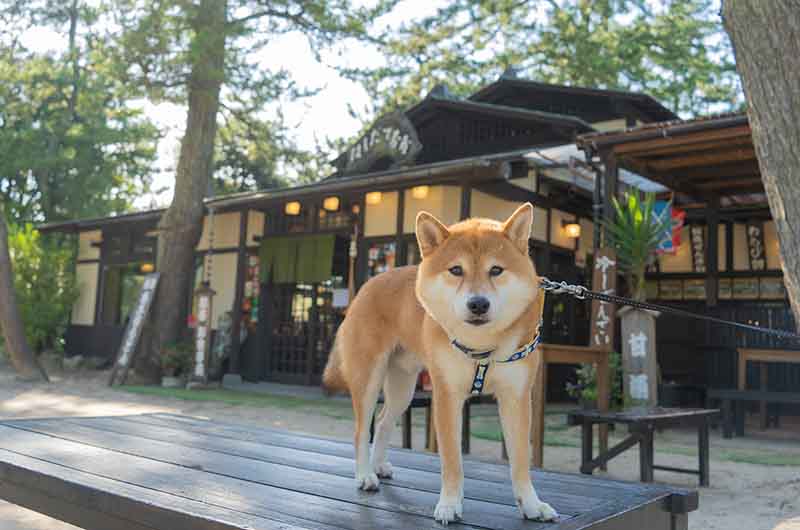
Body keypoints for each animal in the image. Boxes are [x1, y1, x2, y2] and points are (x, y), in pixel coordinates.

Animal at [322, 204, 560, 520]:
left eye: (496, 270)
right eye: (456, 270)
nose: (478, 304)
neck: (482, 346)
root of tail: (367, 285)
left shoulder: (516, 398)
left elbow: (521, 460)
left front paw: (532, 504)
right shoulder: (447, 395)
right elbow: (452, 461)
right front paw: (449, 504)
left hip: (403, 388)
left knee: (384, 421)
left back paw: (379, 466)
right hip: (368, 380)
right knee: (362, 430)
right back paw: (365, 475)